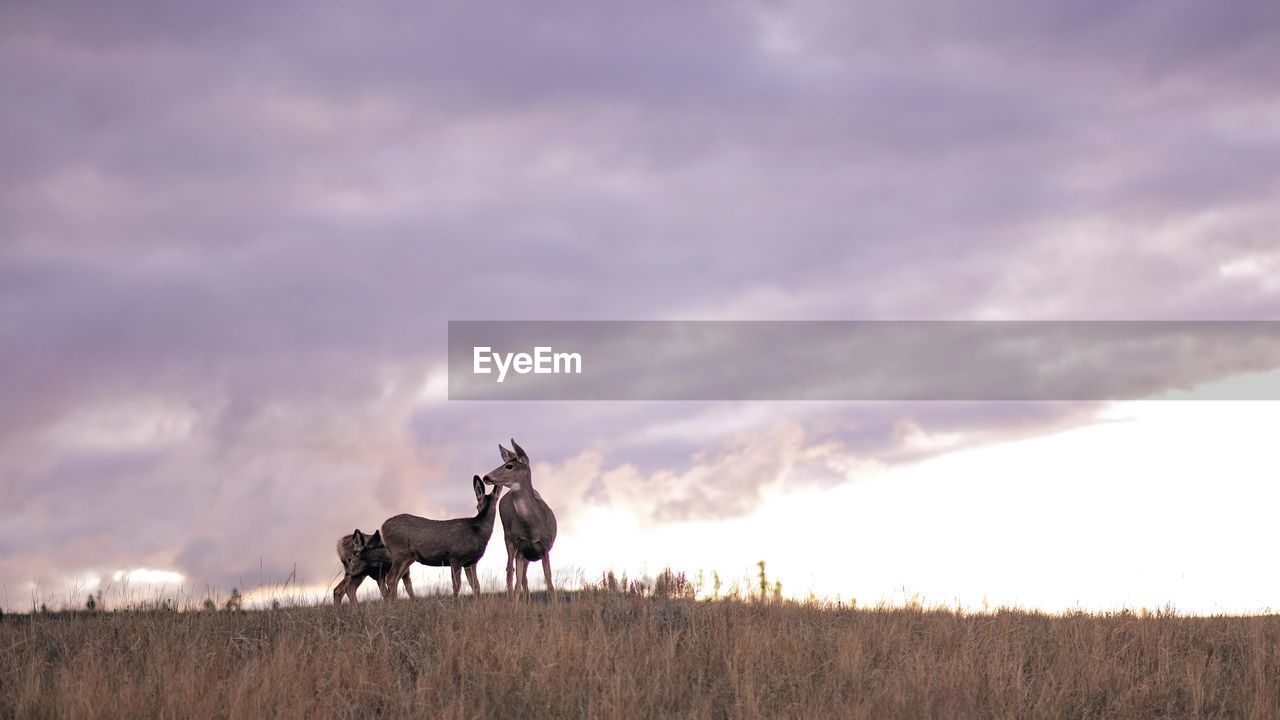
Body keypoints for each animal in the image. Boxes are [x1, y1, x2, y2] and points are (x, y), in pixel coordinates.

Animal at [481, 438, 558, 599]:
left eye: (509, 466)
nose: (486, 477)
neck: (532, 527)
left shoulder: (544, 548)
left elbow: (550, 585)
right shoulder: (520, 549)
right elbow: (517, 585)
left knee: (523, 577)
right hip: (508, 538)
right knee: (510, 572)